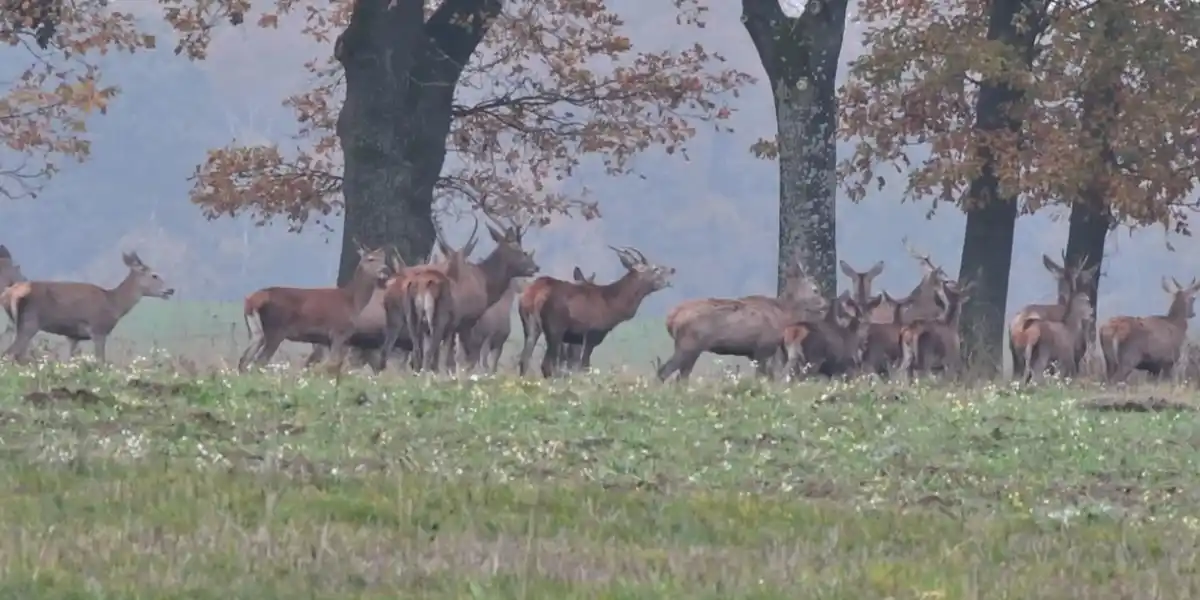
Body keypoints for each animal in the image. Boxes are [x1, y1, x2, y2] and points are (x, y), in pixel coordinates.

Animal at [1, 250, 175, 362]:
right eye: (154, 275)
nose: (170, 290)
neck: (114, 304)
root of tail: (10, 293)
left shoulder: (73, 336)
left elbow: (69, 361)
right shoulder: (98, 329)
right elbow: (101, 361)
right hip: (29, 321)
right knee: (10, 353)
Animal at [240, 243, 393, 369]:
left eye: (383, 259)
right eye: (370, 259)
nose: (385, 270)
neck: (352, 302)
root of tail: (251, 299)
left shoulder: (326, 340)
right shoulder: (339, 332)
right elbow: (331, 364)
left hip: (256, 332)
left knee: (244, 360)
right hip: (275, 330)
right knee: (259, 361)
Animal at [535, 244, 676, 376]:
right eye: (655, 268)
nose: (673, 269)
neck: (612, 305)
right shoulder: (591, 335)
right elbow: (584, 367)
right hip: (555, 330)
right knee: (547, 365)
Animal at [657, 255, 825, 381]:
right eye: (815, 290)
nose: (826, 304)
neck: (783, 315)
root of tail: (670, 318)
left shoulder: (752, 353)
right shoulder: (763, 347)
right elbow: (762, 377)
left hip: (691, 347)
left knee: (681, 376)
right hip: (688, 344)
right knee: (664, 371)